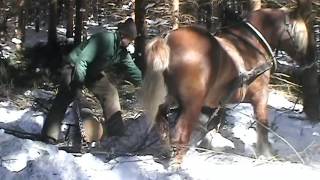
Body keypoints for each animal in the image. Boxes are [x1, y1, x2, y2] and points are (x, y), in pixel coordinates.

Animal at [142, 0, 316, 166]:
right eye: (301, 33)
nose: (310, 61)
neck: (251, 44)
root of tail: (167, 41)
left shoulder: (217, 102)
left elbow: (212, 123)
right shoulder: (260, 96)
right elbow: (263, 125)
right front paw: (265, 154)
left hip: (166, 102)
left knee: (162, 126)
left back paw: (167, 153)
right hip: (191, 104)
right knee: (180, 133)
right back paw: (177, 164)